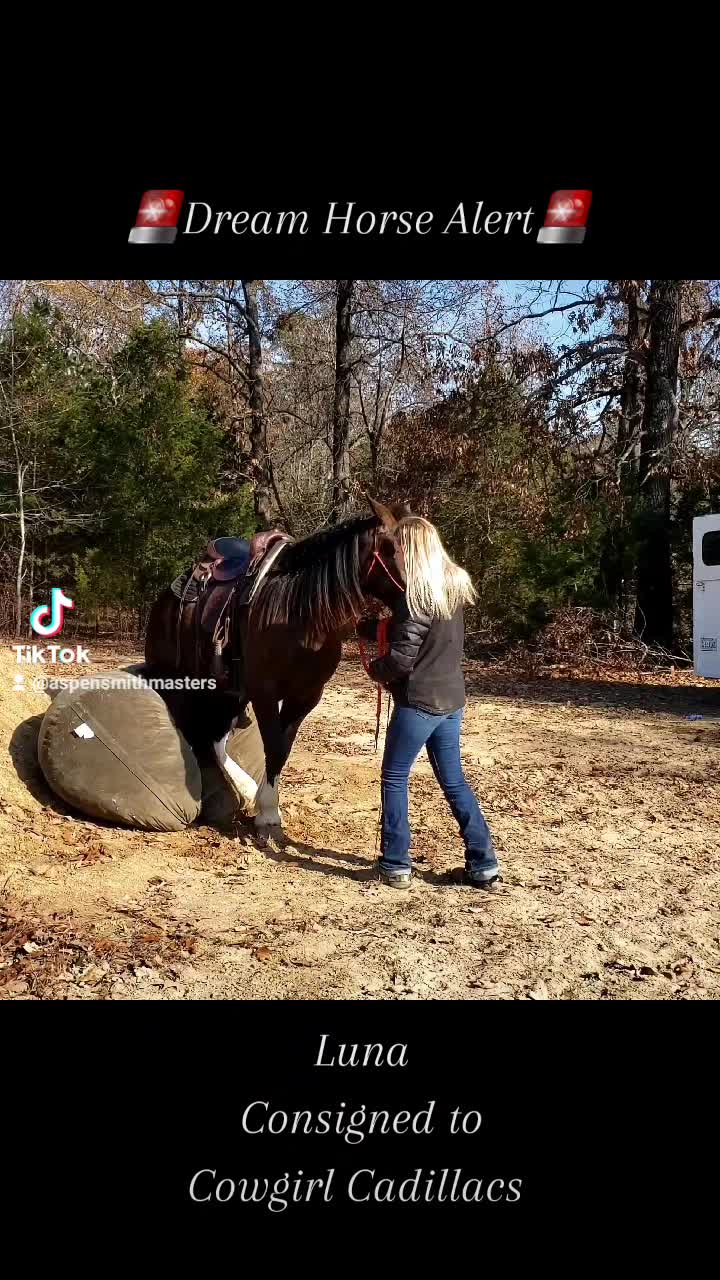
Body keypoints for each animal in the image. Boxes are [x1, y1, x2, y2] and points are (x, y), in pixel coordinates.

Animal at [144, 496, 409, 830]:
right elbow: (272, 745)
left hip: (225, 691)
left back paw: (245, 788)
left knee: (216, 739)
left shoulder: (305, 697)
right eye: (392, 549)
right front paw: (268, 812)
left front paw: (264, 803)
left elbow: (282, 748)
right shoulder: (265, 694)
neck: (298, 612)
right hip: (178, 681)